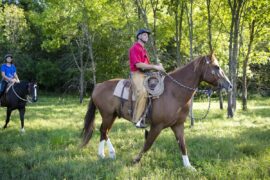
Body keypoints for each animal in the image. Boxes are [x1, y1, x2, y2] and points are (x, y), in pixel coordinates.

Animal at [80, 54, 232, 169]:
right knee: (103, 130)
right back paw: (104, 154)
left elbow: (182, 145)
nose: (229, 85)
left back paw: (108, 154)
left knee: (104, 132)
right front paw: (135, 160)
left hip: (112, 115)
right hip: (107, 115)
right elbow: (148, 144)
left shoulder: (178, 125)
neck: (173, 93)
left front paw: (188, 167)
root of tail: (98, 85)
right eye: (216, 67)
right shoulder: (157, 126)